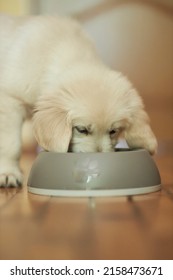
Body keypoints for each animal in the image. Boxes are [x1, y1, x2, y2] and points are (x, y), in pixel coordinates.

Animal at [0, 14, 157, 186]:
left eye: (113, 131)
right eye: (81, 129)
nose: (96, 163)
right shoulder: (10, 100)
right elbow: (10, 144)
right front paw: (8, 173)